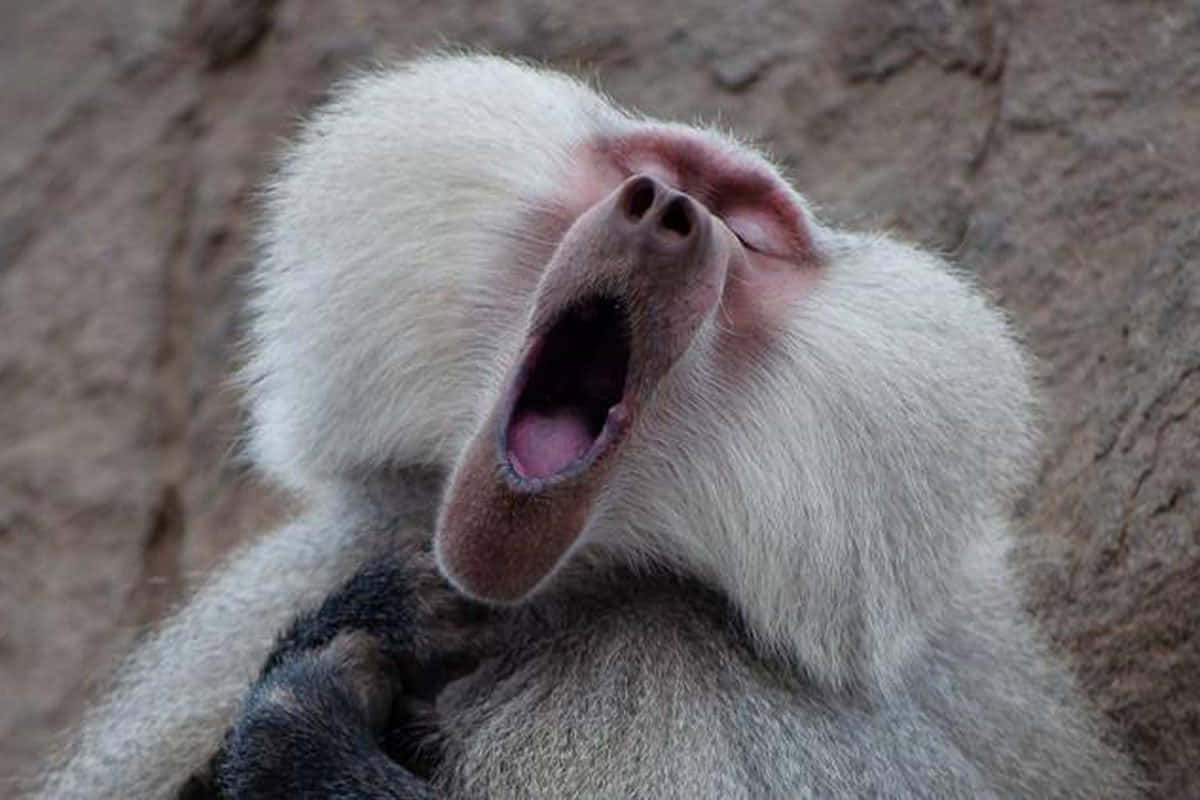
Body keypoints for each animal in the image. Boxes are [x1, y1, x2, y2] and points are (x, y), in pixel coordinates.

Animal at [31, 54, 1137, 798]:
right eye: (649, 167)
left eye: (749, 232)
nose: (666, 210)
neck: (541, 595)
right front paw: (384, 614)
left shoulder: (662, 699)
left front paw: (302, 721)